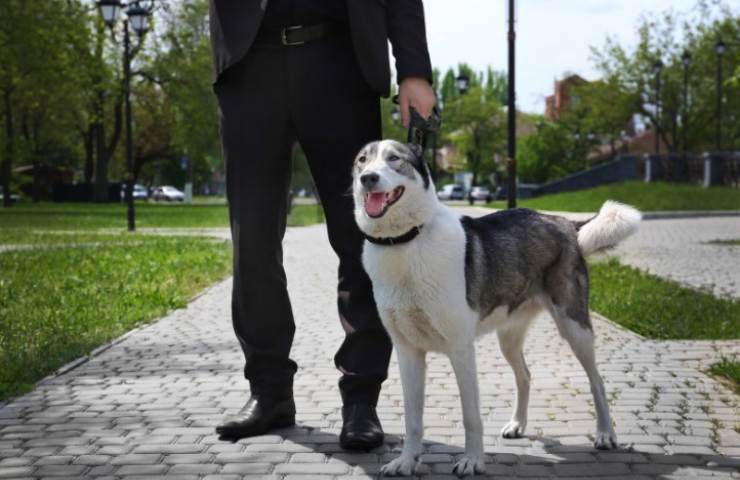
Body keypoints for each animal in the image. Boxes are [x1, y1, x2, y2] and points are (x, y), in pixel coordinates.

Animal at [352, 139, 640, 476]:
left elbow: (471, 416)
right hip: (509, 338)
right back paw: (517, 425)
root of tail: (565, 223)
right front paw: (406, 461)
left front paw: (473, 461)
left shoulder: (461, 349)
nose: (367, 178)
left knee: (597, 381)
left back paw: (606, 434)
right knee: (525, 375)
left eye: (394, 158)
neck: (405, 242)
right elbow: (412, 419)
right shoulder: (407, 351)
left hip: (575, 327)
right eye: (362, 160)